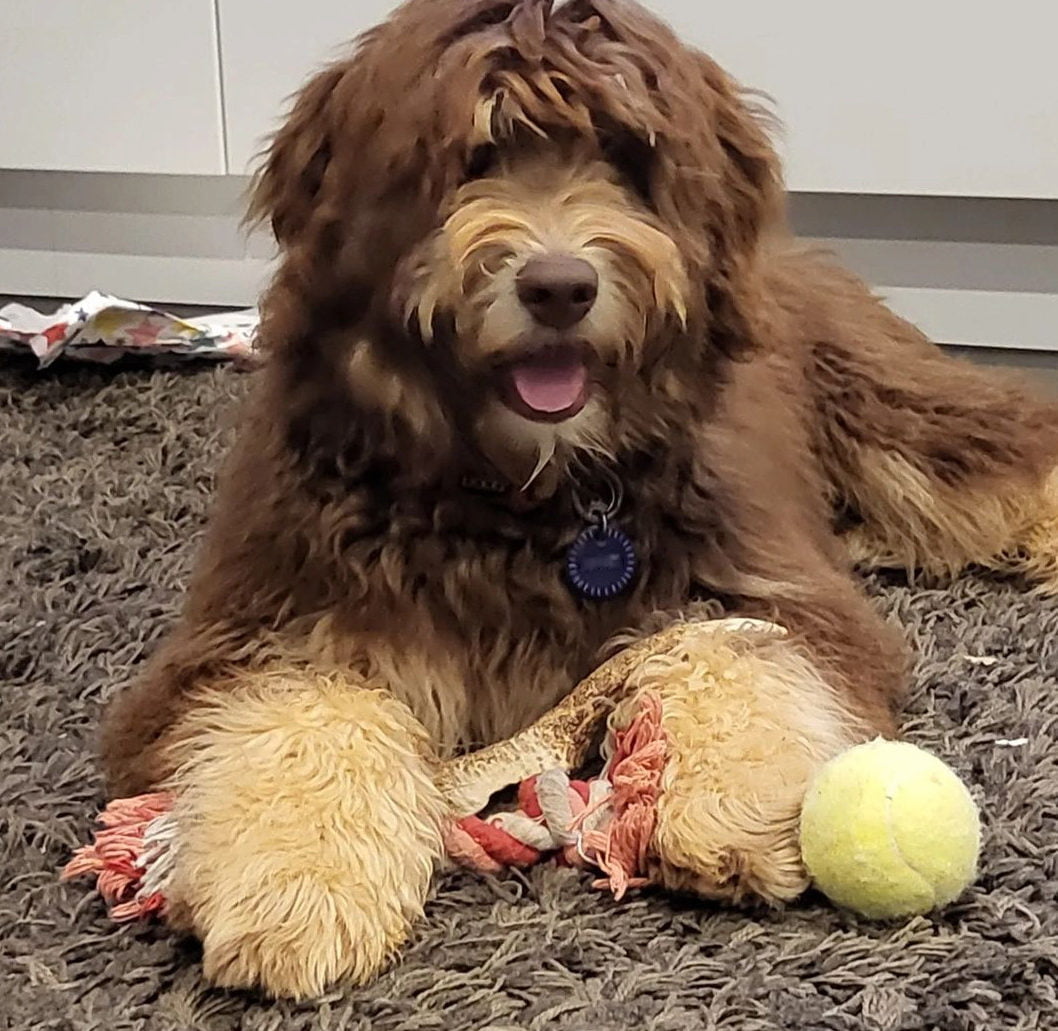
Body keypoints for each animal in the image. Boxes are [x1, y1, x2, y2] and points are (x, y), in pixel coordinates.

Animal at [100, 0, 1058, 999]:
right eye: (472, 157)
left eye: (626, 154)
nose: (559, 285)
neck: (523, 494)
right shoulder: (259, 622)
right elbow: (305, 711)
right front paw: (298, 887)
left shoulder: (773, 581)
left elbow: (739, 653)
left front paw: (727, 803)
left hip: (891, 410)